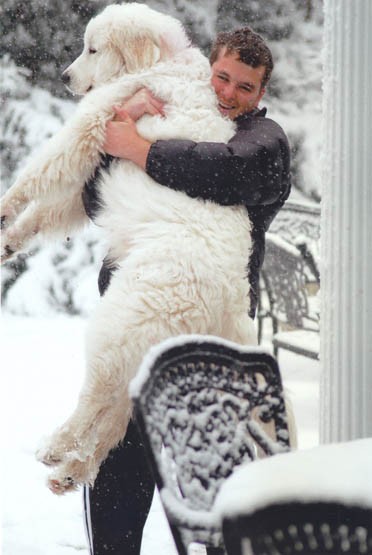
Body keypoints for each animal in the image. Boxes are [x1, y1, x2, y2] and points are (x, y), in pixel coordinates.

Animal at [0, 3, 260, 496]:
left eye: (92, 49)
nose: (64, 77)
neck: (159, 62)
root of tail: (230, 298)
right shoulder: (93, 170)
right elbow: (51, 211)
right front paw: (7, 241)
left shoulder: (93, 123)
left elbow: (40, 171)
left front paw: (2, 209)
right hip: (143, 344)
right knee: (116, 419)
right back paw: (70, 471)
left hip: (121, 321)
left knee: (97, 396)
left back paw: (57, 448)